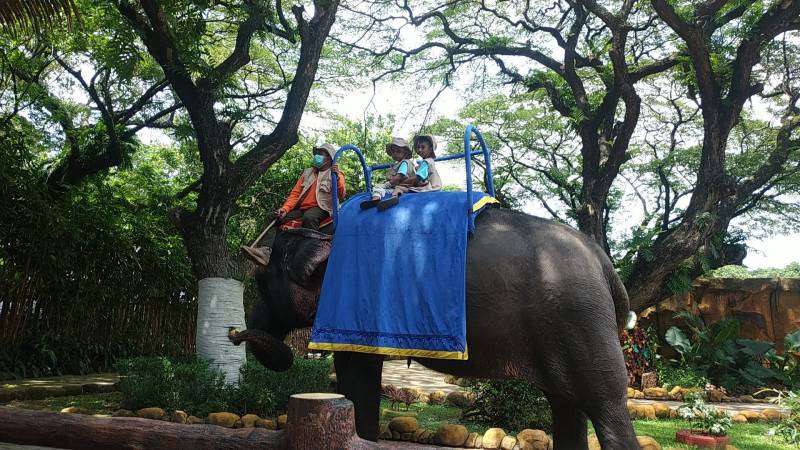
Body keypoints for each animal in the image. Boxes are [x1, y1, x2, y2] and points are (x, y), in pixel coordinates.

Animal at [228, 208, 640, 450]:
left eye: (262, 282)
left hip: (579, 322)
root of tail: (604, 262)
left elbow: (356, 377)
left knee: (605, 405)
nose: (234, 333)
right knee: (566, 405)